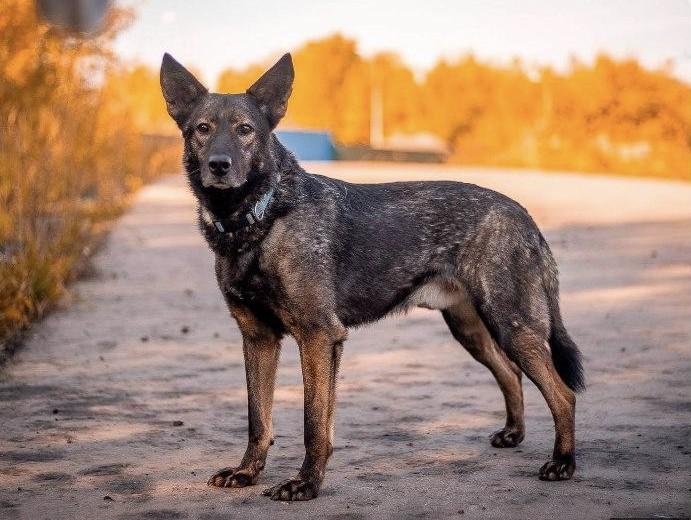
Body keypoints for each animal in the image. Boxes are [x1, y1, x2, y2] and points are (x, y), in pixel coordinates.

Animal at [161, 51, 584, 500]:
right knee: (512, 373)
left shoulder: (318, 336)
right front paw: (247, 472)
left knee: (563, 393)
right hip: (473, 329)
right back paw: (514, 433)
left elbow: (314, 423)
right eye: (201, 129)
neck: (260, 217)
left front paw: (305, 483)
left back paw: (562, 462)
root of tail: (523, 214)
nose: (218, 166)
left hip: (512, 323)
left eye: (245, 130)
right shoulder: (258, 339)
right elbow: (259, 418)